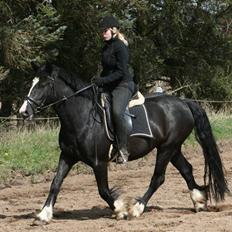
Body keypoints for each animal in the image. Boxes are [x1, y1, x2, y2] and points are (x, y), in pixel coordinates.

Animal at [19, 62, 228, 222]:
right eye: (32, 83)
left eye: (44, 84)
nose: (23, 112)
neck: (83, 117)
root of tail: (183, 102)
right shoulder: (67, 156)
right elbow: (55, 183)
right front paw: (44, 214)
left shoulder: (99, 162)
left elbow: (103, 190)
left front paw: (120, 210)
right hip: (172, 148)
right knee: (186, 170)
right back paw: (199, 202)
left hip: (167, 148)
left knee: (158, 178)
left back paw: (137, 208)